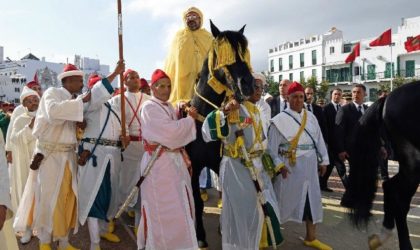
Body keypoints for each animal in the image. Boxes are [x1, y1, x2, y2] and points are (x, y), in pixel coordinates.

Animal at [185, 20, 256, 247]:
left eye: (244, 53)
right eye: (223, 54)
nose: (248, 84)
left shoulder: (220, 162)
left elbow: (226, 196)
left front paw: (225, 227)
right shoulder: (194, 166)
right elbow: (197, 200)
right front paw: (200, 236)